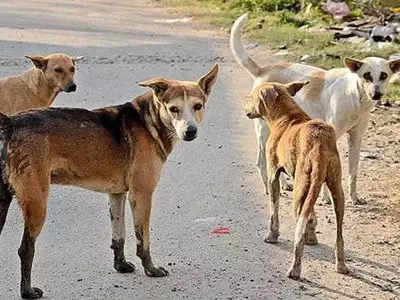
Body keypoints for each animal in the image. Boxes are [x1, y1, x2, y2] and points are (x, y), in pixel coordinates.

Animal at [0, 64, 219, 298]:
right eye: (173, 108)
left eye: (198, 106)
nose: (190, 131)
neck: (148, 121)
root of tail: (12, 123)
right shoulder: (141, 195)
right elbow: (143, 239)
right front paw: (150, 269)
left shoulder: (117, 194)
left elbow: (118, 236)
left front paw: (120, 265)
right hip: (37, 203)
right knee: (26, 249)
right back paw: (27, 291)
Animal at [230, 14, 400, 206]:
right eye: (367, 76)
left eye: (384, 75)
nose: (376, 94)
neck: (356, 96)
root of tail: (263, 70)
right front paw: (326, 198)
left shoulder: (356, 139)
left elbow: (353, 173)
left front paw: (354, 198)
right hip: (263, 131)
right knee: (261, 161)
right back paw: (269, 188)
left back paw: (284, 184)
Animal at [244, 81, 346, 280]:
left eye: (252, 97)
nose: (245, 110)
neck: (287, 117)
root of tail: (319, 143)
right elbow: (311, 215)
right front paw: (312, 236)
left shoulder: (273, 176)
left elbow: (273, 212)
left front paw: (272, 236)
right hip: (336, 190)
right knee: (339, 234)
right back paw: (341, 265)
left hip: (299, 191)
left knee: (298, 235)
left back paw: (295, 269)